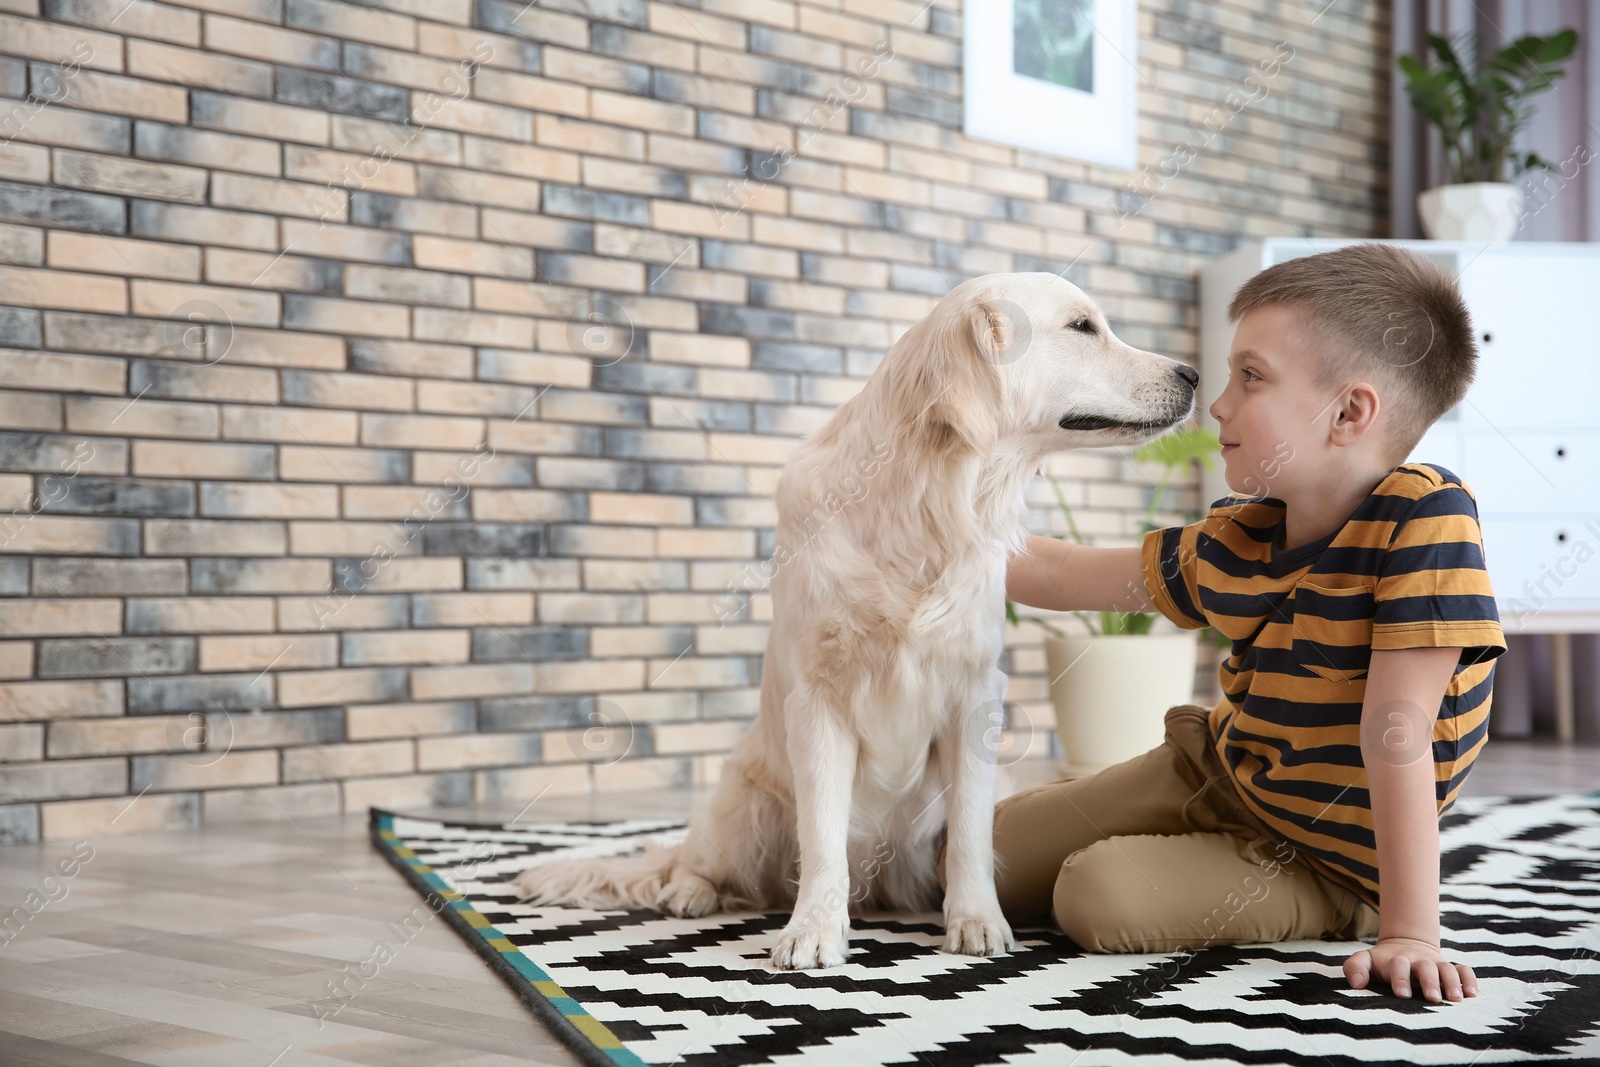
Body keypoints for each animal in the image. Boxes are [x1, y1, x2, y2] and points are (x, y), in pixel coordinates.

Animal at [512, 273, 1203, 966]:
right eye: (1082, 327)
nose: (1194, 373)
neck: (922, 507)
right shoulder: (818, 698)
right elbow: (821, 832)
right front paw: (814, 929)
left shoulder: (976, 693)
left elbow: (972, 829)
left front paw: (976, 919)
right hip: (741, 802)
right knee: (695, 860)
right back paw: (691, 893)